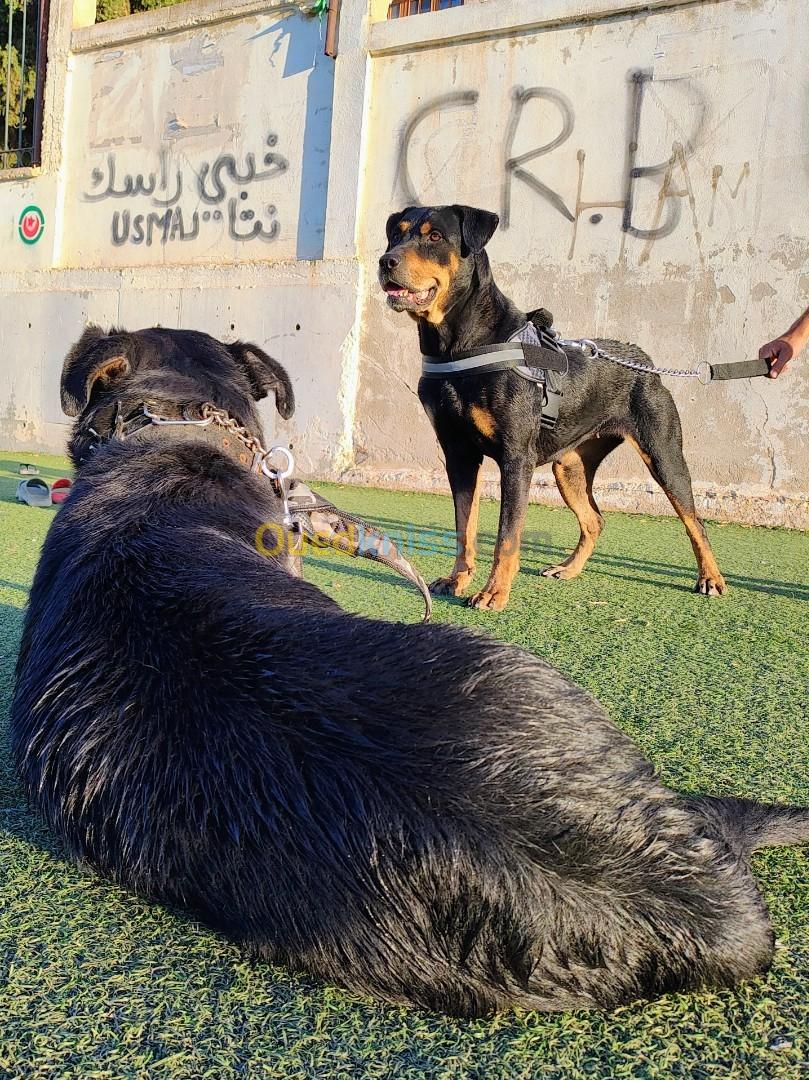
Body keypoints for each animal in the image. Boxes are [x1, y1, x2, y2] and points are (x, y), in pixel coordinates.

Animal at [378, 203, 725, 609]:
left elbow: (507, 535)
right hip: (570, 466)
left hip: (663, 453)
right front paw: (457, 580)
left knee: (694, 520)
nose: (386, 261)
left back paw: (711, 578)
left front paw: (494, 592)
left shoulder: (516, 458)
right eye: (396, 234)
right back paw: (568, 569)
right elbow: (465, 526)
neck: (459, 346)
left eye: (434, 236)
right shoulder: (458, 454)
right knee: (594, 520)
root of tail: (644, 360)